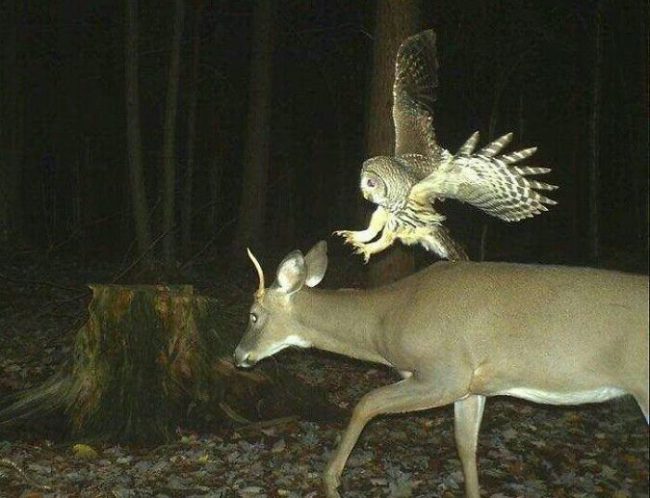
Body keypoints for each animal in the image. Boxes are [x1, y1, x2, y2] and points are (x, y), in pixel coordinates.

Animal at [233, 241, 649, 498]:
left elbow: (366, 403)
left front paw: (331, 481)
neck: (386, 321)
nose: (238, 356)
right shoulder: (472, 388)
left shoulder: (445, 371)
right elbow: (466, 447)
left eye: (253, 315)